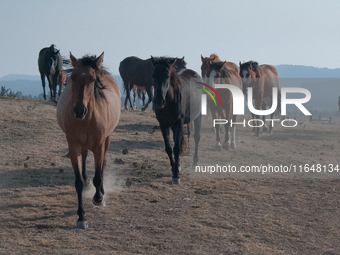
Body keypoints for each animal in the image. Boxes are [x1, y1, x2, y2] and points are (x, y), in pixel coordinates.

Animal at [55, 52, 119, 229]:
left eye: (92, 79)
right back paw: (87, 181)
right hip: (82, 145)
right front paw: (81, 217)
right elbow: (78, 182)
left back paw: (101, 192)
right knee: (84, 158)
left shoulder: (99, 146)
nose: (79, 110)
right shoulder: (73, 147)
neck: (87, 119)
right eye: (73, 77)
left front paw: (98, 198)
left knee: (102, 165)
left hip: (107, 139)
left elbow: (98, 173)